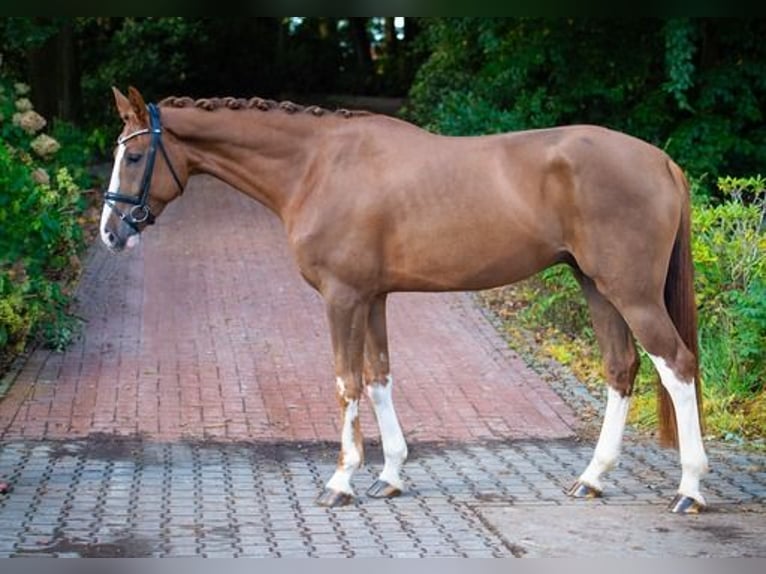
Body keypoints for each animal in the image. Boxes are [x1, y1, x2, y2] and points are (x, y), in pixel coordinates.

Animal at [100, 88, 708, 516]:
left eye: (134, 157)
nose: (110, 232)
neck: (317, 166)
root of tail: (661, 161)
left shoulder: (342, 298)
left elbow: (346, 383)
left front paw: (340, 482)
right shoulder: (372, 298)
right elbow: (378, 379)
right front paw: (388, 476)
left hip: (631, 293)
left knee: (677, 367)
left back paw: (690, 489)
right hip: (595, 286)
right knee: (621, 368)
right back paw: (591, 478)